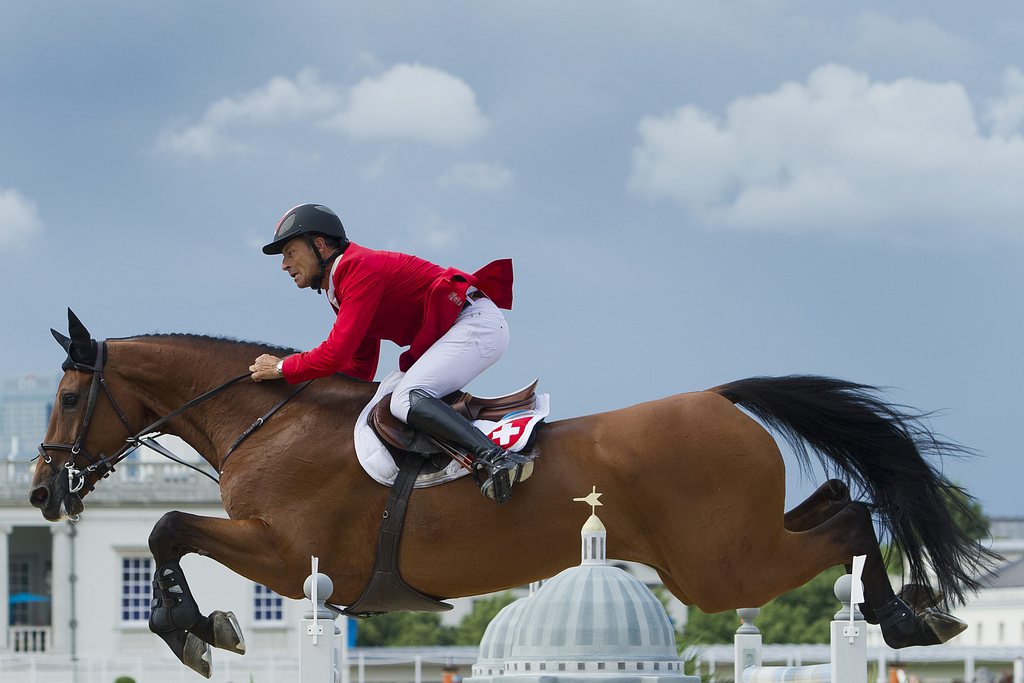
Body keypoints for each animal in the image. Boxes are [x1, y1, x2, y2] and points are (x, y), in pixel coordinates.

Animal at [29, 311, 999, 679]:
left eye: (69, 395)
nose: (41, 490)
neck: (269, 418)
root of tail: (721, 396)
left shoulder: (289, 551)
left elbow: (166, 526)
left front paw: (195, 628)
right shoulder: (290, 557)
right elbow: (171, 530)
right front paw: (199, 627)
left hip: (723, 568)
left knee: (853, 515)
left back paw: (907, 617)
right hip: (732, 551)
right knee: (840, 498)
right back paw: (911, 609)